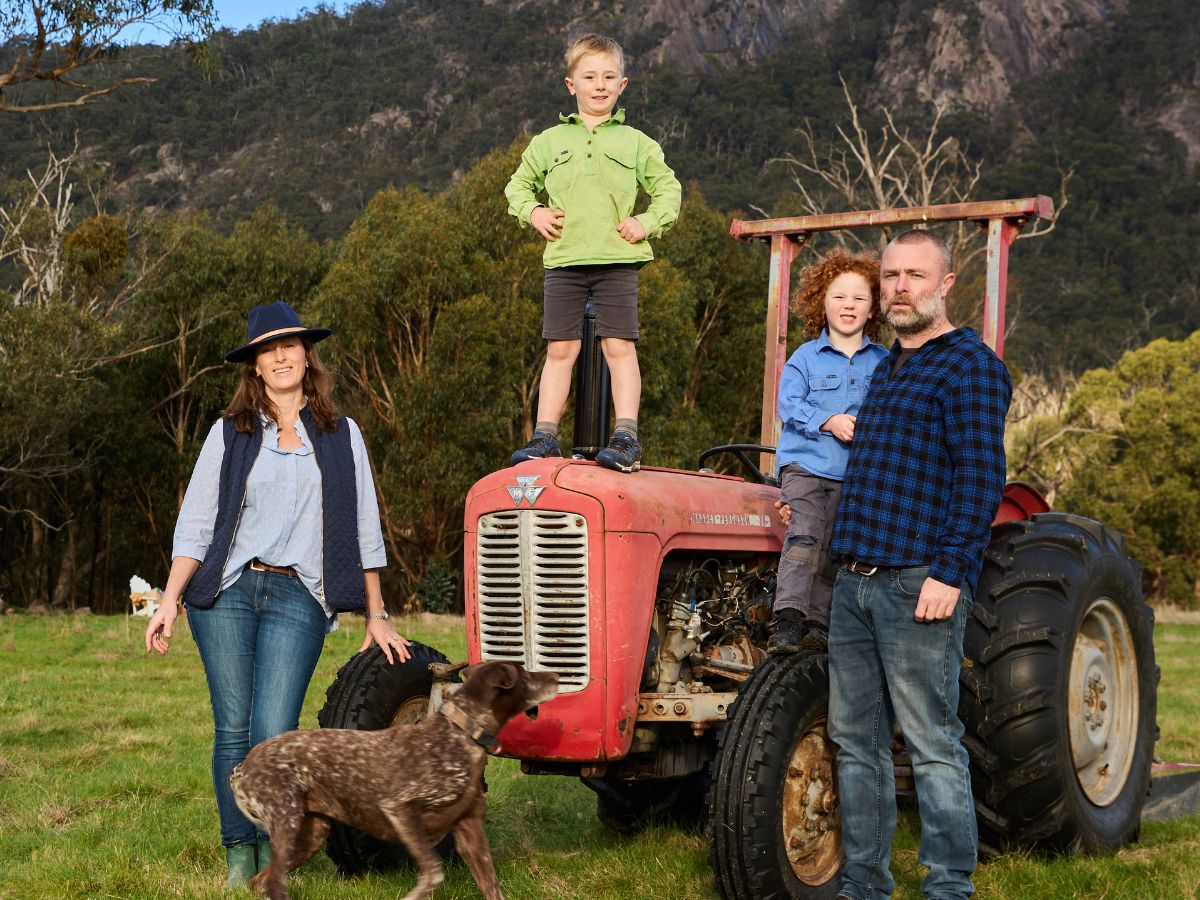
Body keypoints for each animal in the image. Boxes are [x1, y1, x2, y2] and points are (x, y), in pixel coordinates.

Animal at [229, 662, 556, 900]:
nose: (556, 675)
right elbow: (434, 872)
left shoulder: (470, 831)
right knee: (272, 883)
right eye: (525, 674)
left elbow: (492, 888)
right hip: (287, 822)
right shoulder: (400, 809)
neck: (461, 734)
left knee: (262, 881)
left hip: (311, 834)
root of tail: (243, 768)